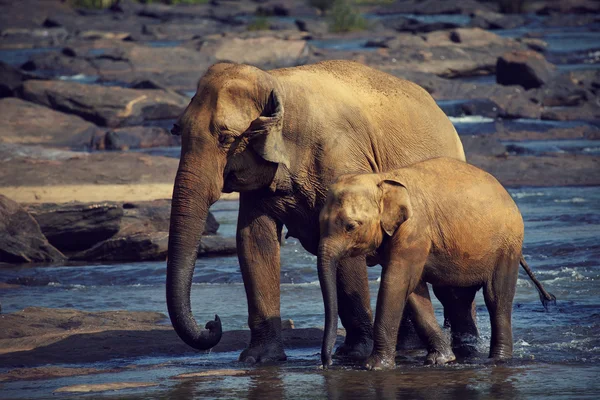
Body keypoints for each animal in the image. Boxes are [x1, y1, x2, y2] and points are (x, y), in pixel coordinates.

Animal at [166, 60, 466, 362]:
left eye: (226, 137)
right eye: (177, 130)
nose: (213, 323)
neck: (277, 84)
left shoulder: (341, 158)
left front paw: (354, 353)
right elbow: (253, 240)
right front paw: (259, 359)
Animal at [316, 158, 556, 370]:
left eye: (350, 226)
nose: (326, 364)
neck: (381, 178)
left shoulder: (414, 230)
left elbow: (396, 282)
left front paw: (374, 367)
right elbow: (413, 289)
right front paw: (441, 360)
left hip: (507, 245)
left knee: (496, 298)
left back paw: (498, 360)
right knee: (456, 297)